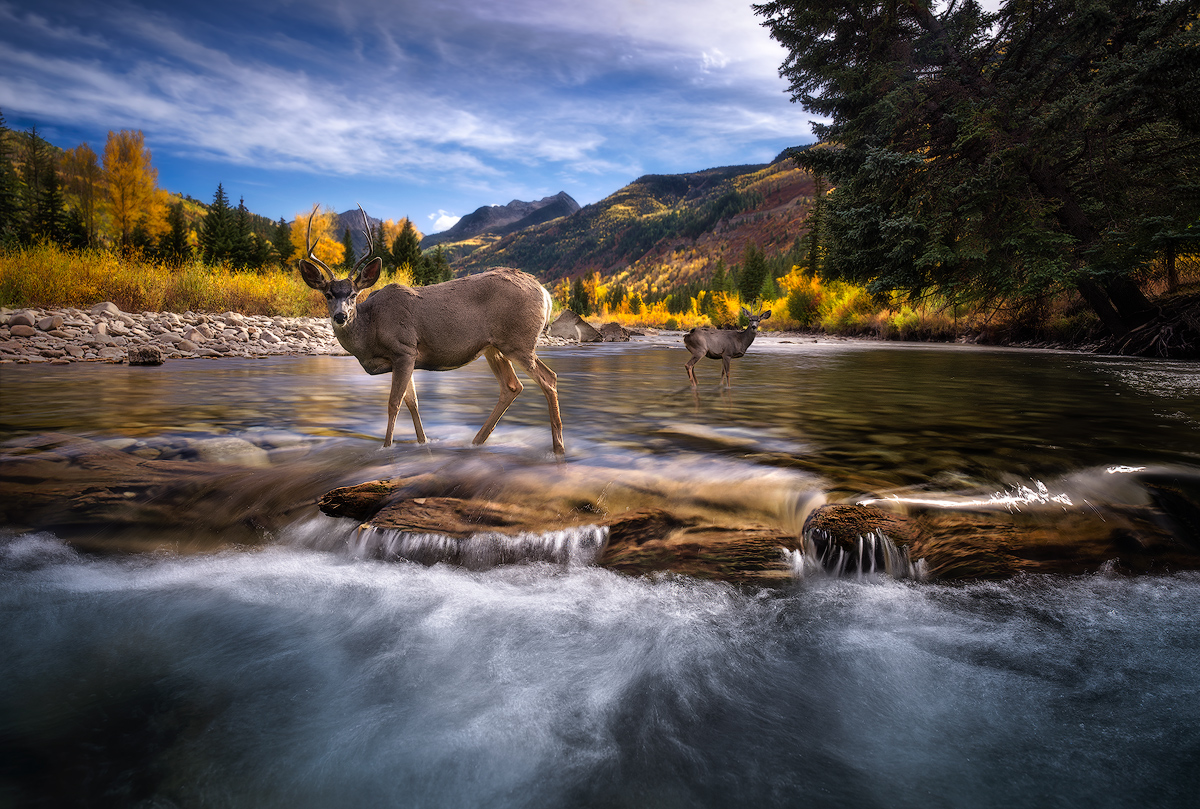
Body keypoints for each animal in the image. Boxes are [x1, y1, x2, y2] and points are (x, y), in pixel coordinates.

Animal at [297, 206, 564, 453]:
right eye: (328, 294)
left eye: (353, 294)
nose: (341, 316)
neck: (370, 331)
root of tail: (545, 293)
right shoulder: (405, 358)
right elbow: (412, 403)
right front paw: (423, 442)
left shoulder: (404, 349)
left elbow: (394, 403)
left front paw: (386, 447)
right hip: (494, 348)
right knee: (512, 386)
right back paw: (476, 442)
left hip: (518, 342)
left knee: (549, 378)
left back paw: (558, 448)